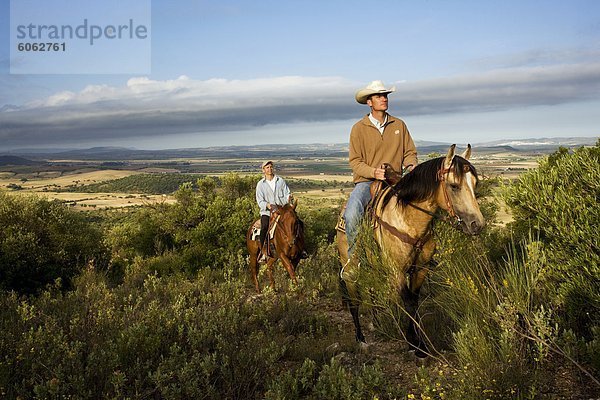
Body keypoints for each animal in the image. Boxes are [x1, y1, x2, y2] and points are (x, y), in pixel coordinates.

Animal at [340, 145, 486, 358]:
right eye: (453, 186)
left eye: (474, 184)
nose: (477, 224)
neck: (408, 221)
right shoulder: (397, 271)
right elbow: (408, 302)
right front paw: (414, 344)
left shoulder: (420, 269)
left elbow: (415, 302)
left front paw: (420, 344)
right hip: (350, 268)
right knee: (354, 302)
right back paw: (360, 339)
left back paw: (375, 323)